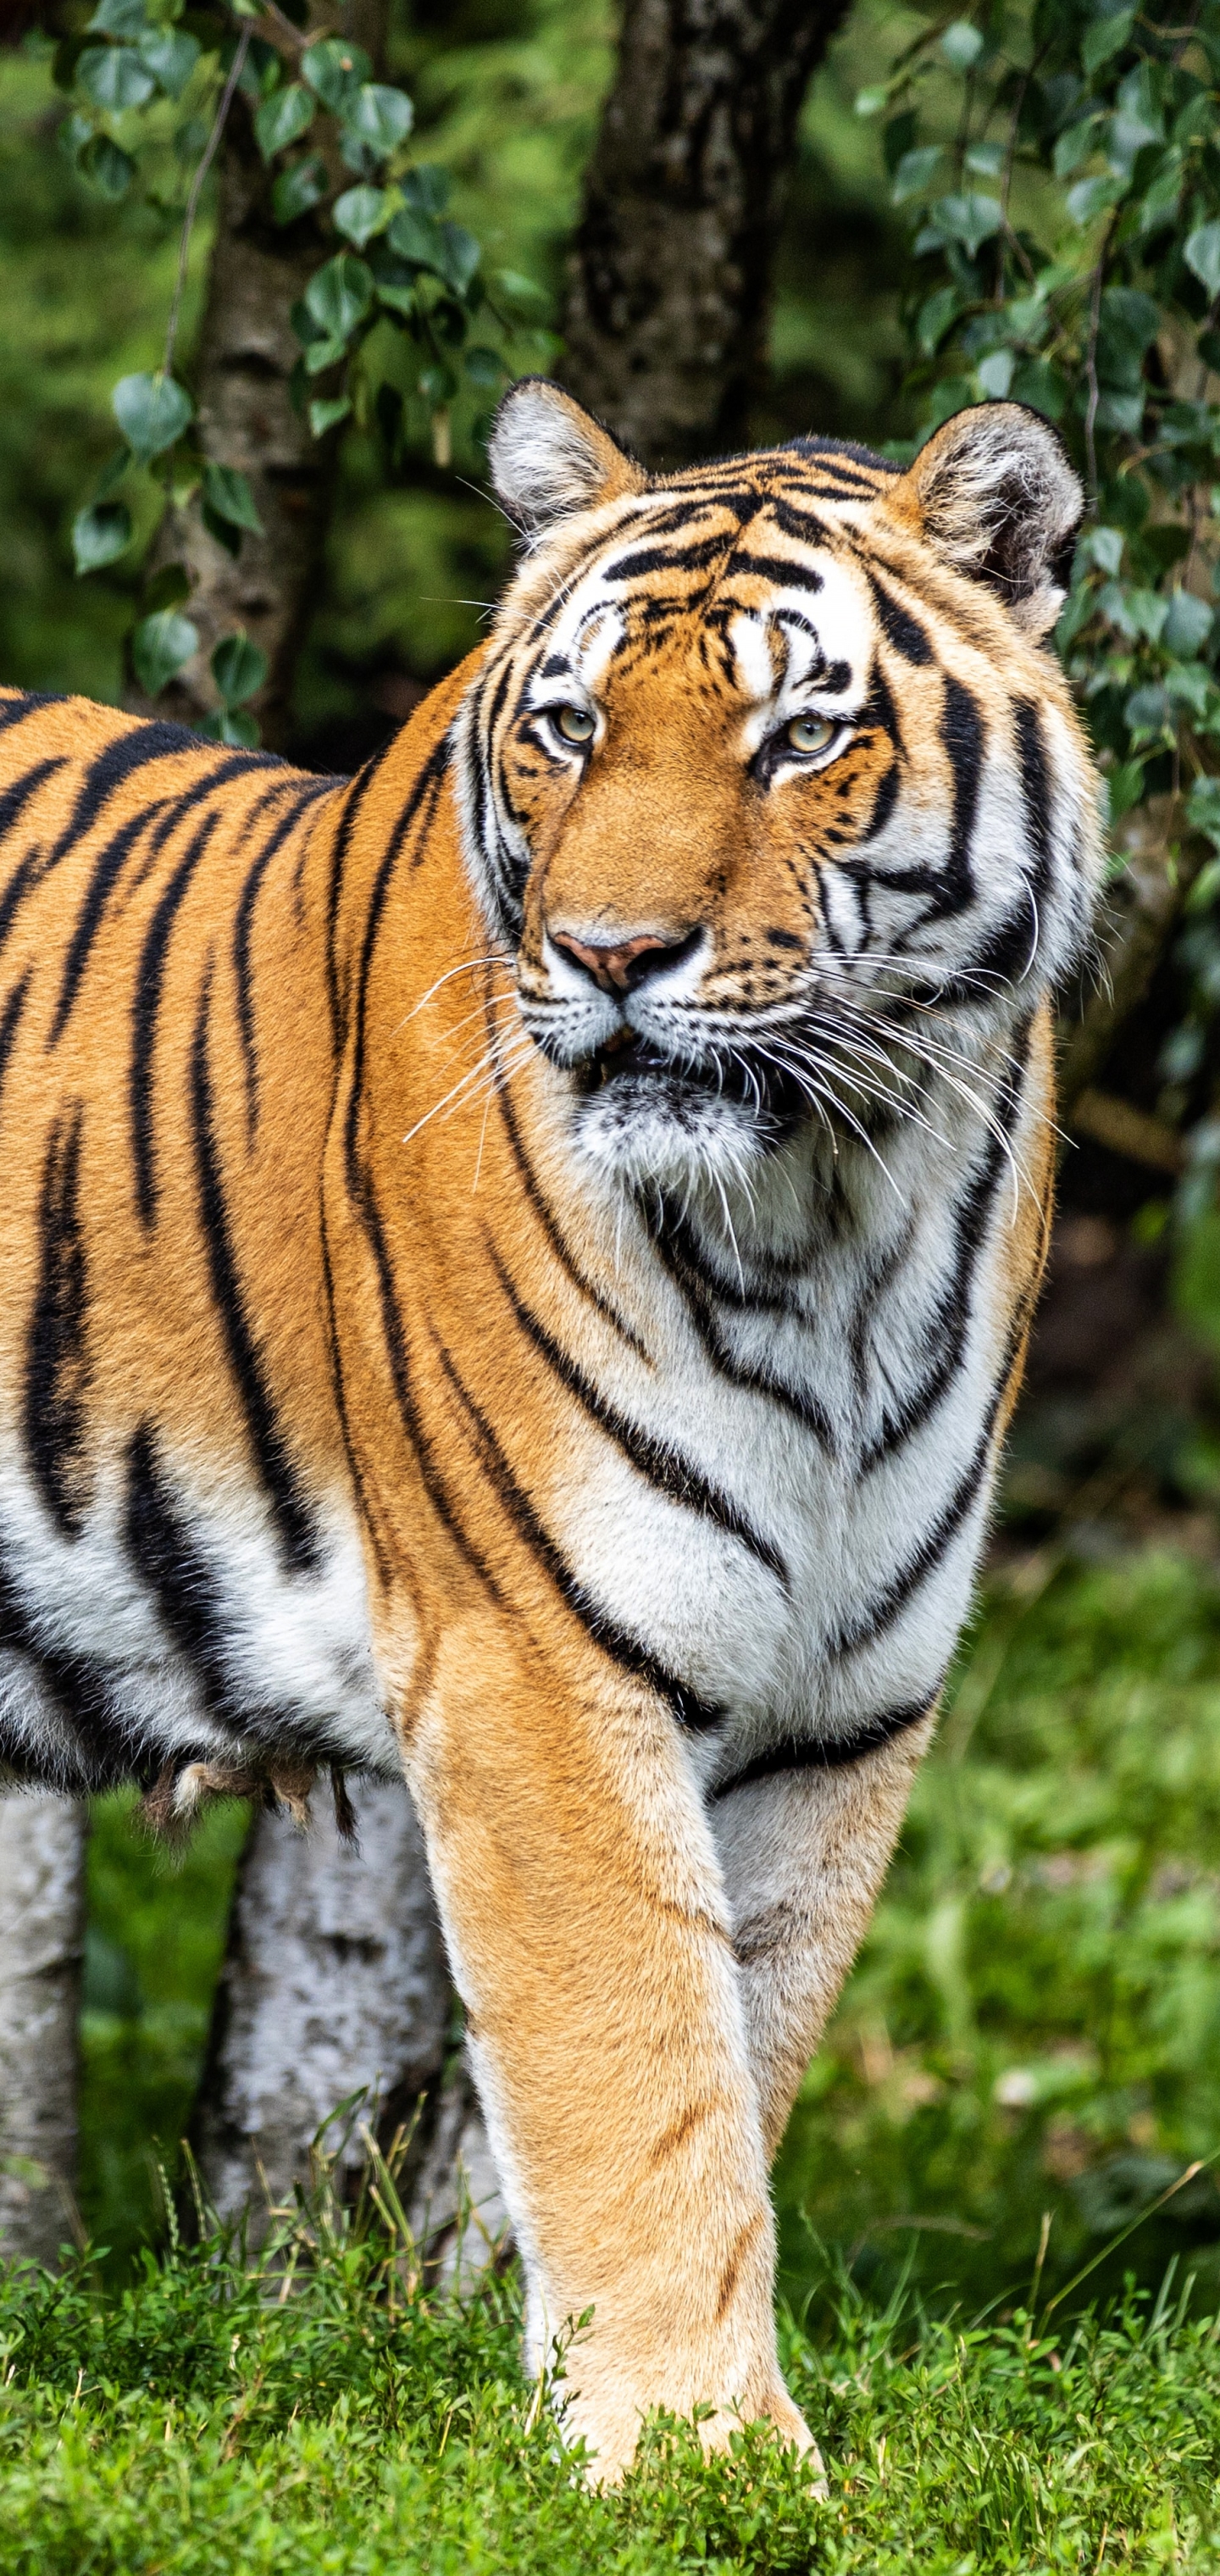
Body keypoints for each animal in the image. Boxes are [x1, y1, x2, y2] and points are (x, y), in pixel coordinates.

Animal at [0, 375, 1101, 2452]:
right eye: (574, 725)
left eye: (801, 733)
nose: (606, 957)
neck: (837, 1207)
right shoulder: (541, 1662)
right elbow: (637, 2084)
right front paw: (695, 2459)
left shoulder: (843, 1704)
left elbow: (738, 2053)